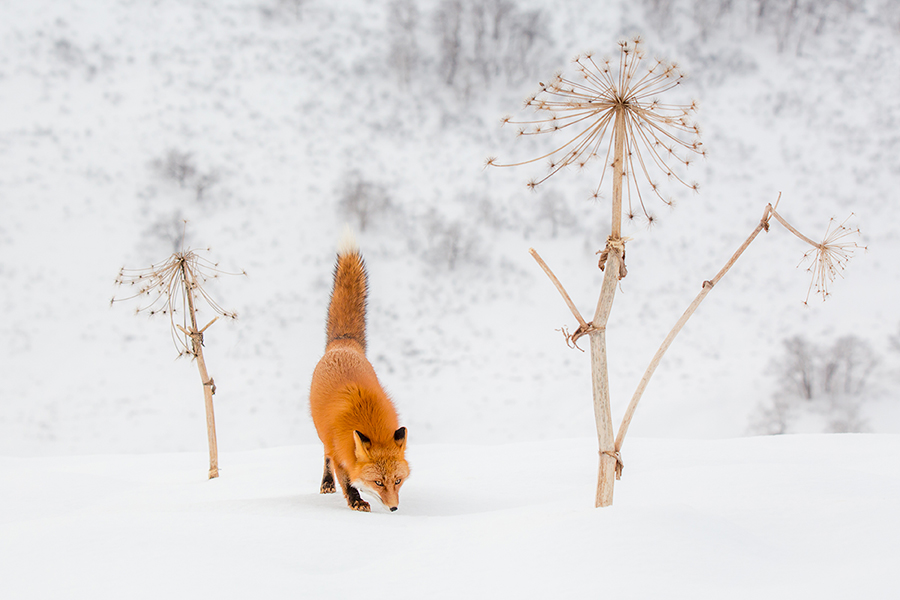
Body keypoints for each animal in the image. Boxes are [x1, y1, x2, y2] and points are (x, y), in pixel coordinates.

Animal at [308, 232, 410, 512]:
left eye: (397, 480)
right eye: (378, 482)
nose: (394, 508)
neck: (367, 418)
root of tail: (343, 343)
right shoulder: (339, 449)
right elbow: (346, 480)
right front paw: (356, 501)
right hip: (323, 437)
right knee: (325, 458)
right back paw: (326, 483)